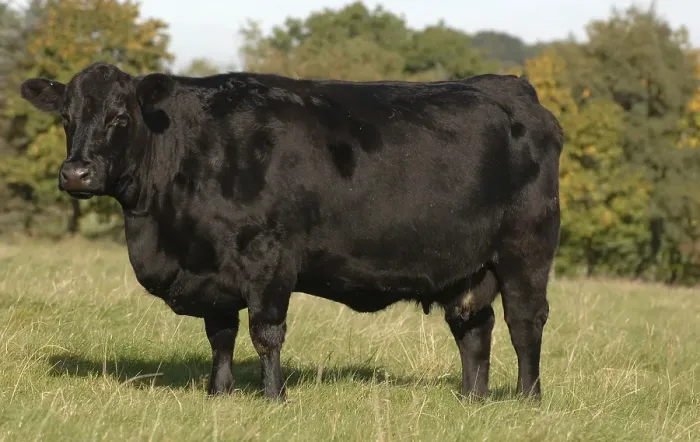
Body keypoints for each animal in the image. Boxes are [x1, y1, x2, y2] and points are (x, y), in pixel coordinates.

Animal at [19, 62, 563, 401]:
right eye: (66, 118)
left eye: (119, 117)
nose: (76, 173)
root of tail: (512, 87)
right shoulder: (211, 269)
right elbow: (220, 333)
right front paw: (219, 393)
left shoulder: (269, 257)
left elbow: (266, 332)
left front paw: (273, 396)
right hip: (468, 267)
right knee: (473, 326)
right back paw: (472, 398)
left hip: (526, 251)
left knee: (524, 322)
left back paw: (526, 398)